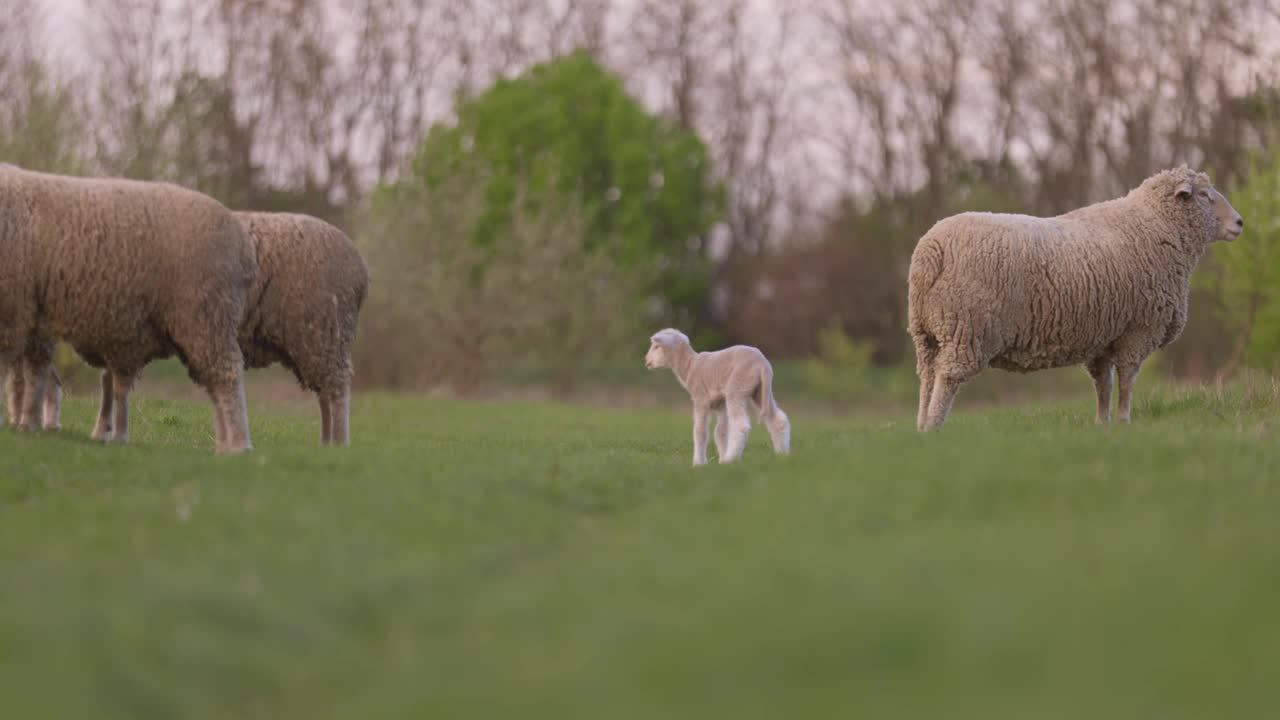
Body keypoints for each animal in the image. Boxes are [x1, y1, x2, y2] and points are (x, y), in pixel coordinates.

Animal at [0, 165, 257, 450]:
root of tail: (244, 244)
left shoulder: (12, 309)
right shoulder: (29, 313)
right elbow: (31, 374)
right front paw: (26, 423)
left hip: (206, 317)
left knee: (227, 378)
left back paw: (238, 445)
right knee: (212, 383)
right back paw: (222, 446)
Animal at [37, 210, 368, 443]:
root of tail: (360, 267)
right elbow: (107, 382)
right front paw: (99, 431)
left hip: (323, 331)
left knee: (336, 391)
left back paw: (338, 445)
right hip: (315, 339)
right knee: (325, 393)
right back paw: (325, 442)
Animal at [640, 326, 788, 466]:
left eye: (656, 346)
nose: (646, 361)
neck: (689, 366)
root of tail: (762, 365)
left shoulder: (701, 399)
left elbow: (700, 432)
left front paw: (698, 463)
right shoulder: (720, 404)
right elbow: (720, 432)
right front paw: (720, 461)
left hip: (737, 387)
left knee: (741, 426)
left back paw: (731, 458)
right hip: (761, 391)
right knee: (778, 420)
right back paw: (782, 455)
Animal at [906, 165, 1244, 427]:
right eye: (1204, 194)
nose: (1239, 222)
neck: (1158, 225)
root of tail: (931, 249)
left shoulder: (1104, 337)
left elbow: (1103, 384)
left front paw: (1102, 424)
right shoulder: (1138, 329)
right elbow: (1126, 379)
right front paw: (1124, 420)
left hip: (928, 334)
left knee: (927, 378)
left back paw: (921, 429)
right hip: (967, 328)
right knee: (947, 381)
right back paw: (935, 428)